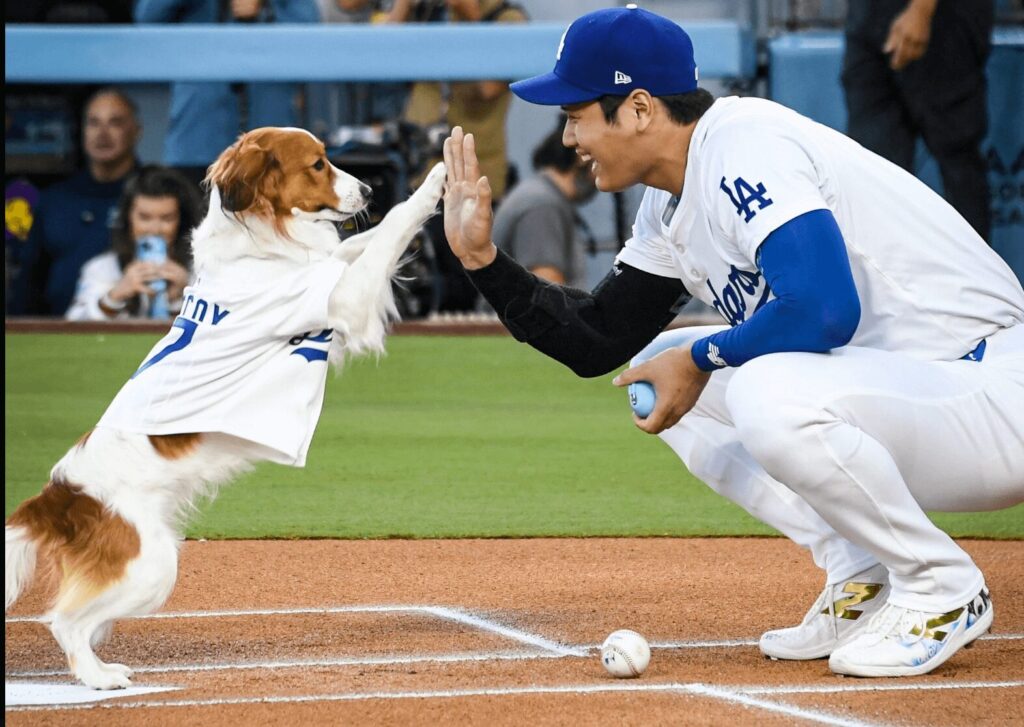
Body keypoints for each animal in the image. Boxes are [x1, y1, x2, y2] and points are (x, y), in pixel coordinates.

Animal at [4, 127, 444, 692]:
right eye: (318, 165)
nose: (368, 190)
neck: (258, 246)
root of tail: (56, 496)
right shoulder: (343, 298)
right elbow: (390, 230)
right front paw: (436, 181)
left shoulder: (330, 276)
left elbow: (355, 244)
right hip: (152, 565)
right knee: (64, 620)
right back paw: (99, 678)